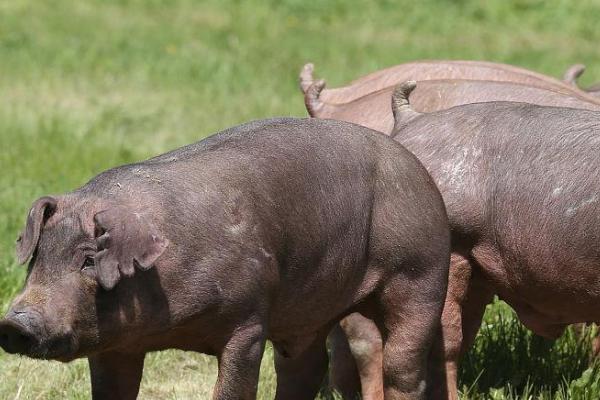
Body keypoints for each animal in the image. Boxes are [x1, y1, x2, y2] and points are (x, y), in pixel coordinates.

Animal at [0, 118, 450, 400]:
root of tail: (413, 163)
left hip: (421, 272)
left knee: (403, 367)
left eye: (89, 261)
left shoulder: (248, 320)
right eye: (37, 256)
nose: (14, 322)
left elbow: (234, 386)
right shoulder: (117, 345)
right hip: (310, 310)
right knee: (304, 368)